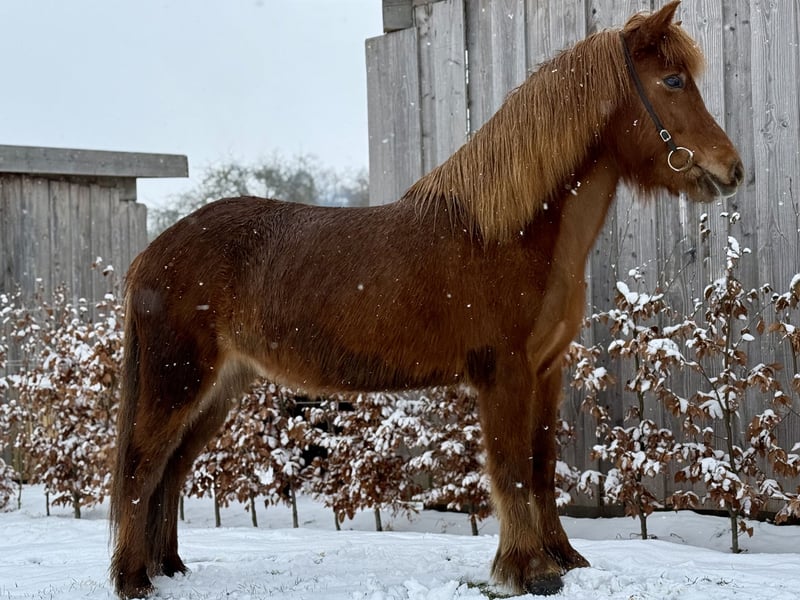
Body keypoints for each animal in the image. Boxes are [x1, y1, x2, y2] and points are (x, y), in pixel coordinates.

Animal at [110, 2, 743, 597]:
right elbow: (511, 469)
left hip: (219, 388)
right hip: (177, 381)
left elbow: (541, 467)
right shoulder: (505, 373)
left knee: (171, 469)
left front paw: (564, 559)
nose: (732, 169)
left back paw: (169, 570)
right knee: (142, 467)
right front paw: (528, 570)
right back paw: (134, 580)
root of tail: (152, 253)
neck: (508, 231)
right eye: (672, 81)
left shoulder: (547, 370)